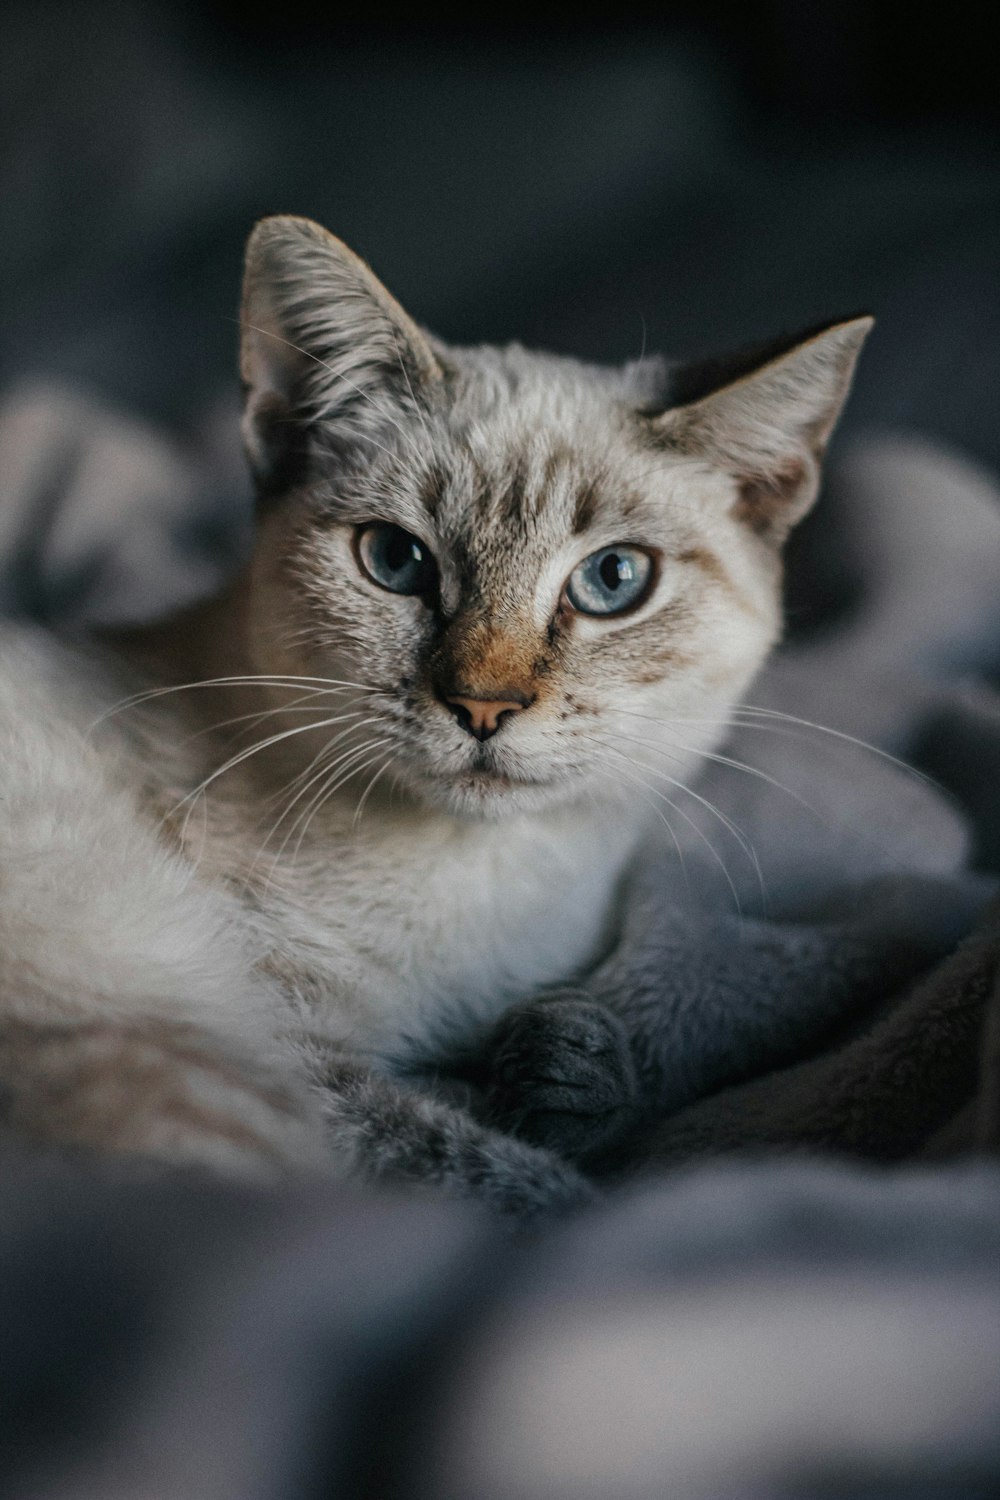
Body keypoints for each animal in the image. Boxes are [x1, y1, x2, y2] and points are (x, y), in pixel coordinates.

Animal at [0, 214, 869, 1218]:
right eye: (396, 560)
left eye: (613, 579)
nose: (484, 705)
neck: (492, 894)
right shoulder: (298, 1061)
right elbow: (478, 1160)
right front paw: (563, 1154)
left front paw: (571, 1068)